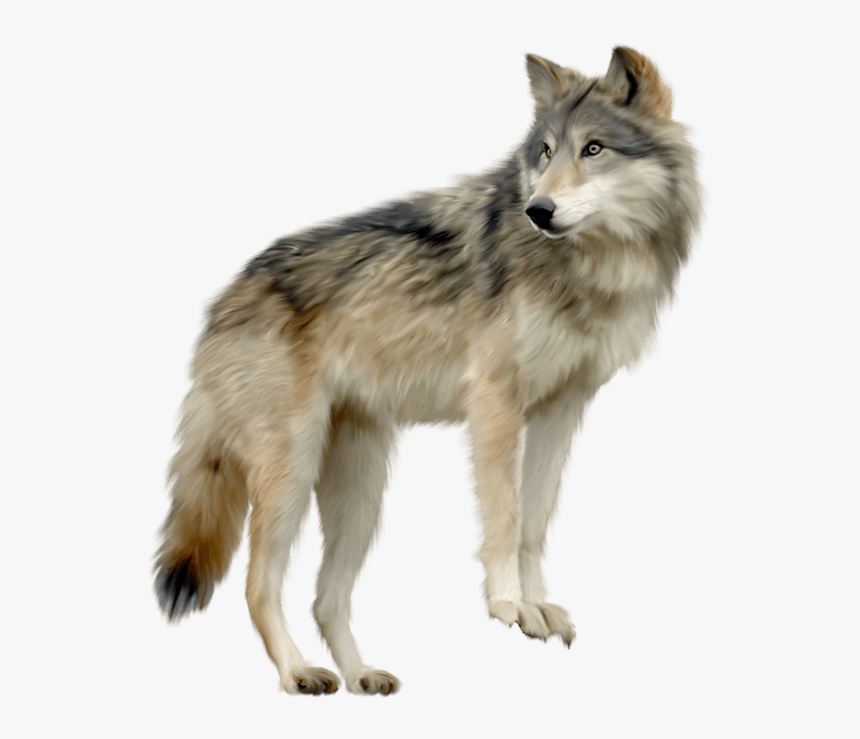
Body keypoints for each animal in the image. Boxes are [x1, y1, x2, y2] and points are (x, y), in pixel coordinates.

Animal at [154, 47, 701, 695]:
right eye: (544, 152)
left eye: (593, 148)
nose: (538, 210)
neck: (591, 266)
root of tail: (226, 298)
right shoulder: (495, 401)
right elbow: (504, 516)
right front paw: (509, 605)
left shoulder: (561, 409)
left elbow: (533, 522)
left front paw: (538, 607)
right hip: (291, 471)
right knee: (258, 585)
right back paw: (298, 673)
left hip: (361, 492)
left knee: (325, 599)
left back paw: (361, 676)